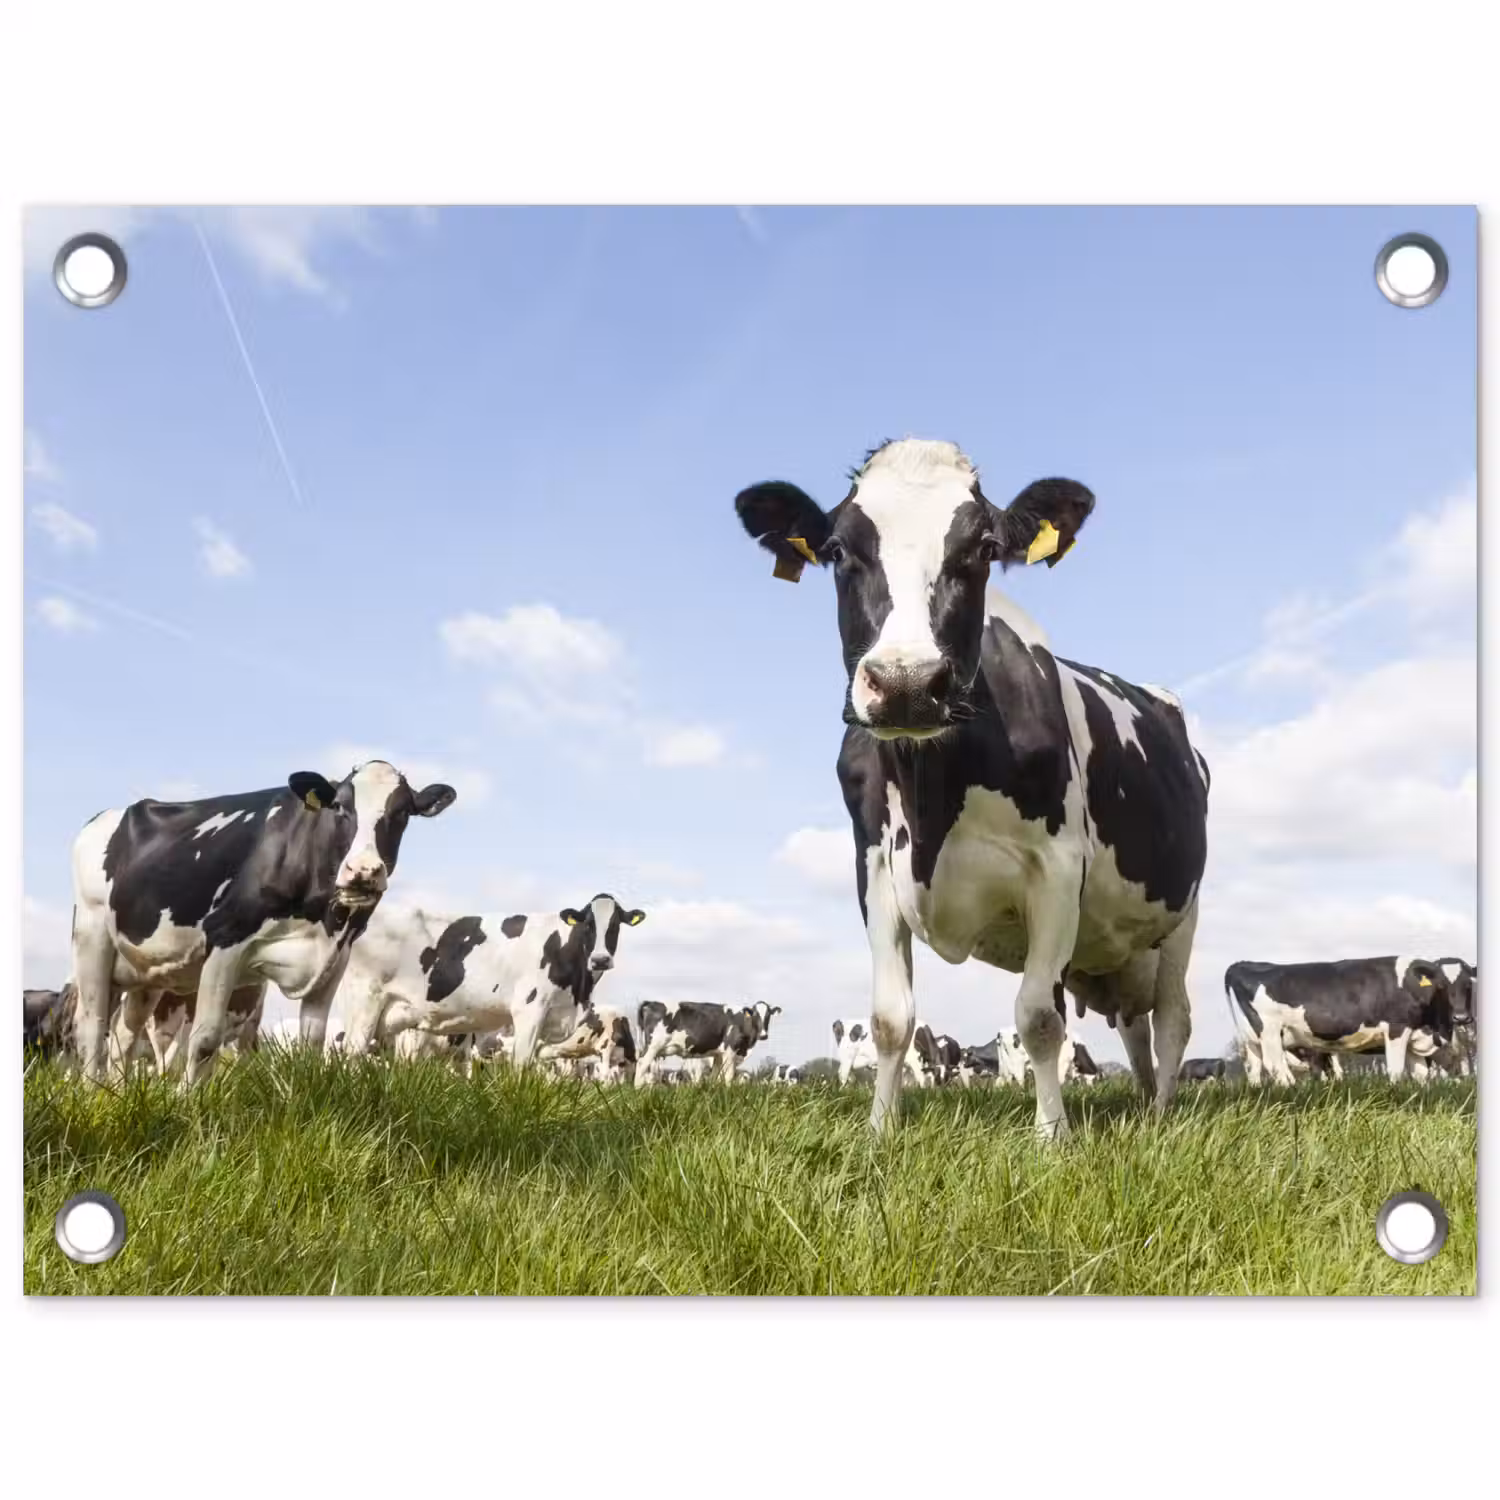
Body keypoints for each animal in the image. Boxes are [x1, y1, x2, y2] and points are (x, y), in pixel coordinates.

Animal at [69, 761, 456, 1085]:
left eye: (402, 811)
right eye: (340, 807)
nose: (363, 871)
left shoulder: (334, 958)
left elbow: (311, 1042)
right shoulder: (226, 937)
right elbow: (205, 1039)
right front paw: (186, 1103)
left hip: (148, 969)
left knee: (124, 1034)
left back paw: (115, 1093)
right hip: (91, 936)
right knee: (91, 1027)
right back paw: (92, 1093)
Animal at [335, 895, 645, 1067]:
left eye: (615, 925)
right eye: (588, 925)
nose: (601, 959)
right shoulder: (529, 1009)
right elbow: (522, 1066)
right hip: (365, 1001)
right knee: (352, 1054)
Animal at [635, 1001, 780, 1085]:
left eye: (768, 1015)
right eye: (755, 1015)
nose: (764, 1035)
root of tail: (650, 1003)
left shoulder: (719, 1055)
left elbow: (716, 1076)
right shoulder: (729, 1051)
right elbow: (728, 1076)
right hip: (654, 1045)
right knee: (642, 1063)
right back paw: (637, 1089)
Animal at [736, 439, 1209, 1139]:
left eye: (984, 548)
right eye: (839, 551)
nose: (905, 683)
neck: (935, 795)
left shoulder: (1058, 868)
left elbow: (1039, 1018)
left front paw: (1052, 1135)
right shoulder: (875, 866)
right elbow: (890, 1019)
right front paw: (879, 1132)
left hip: (1182, 913)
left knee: (1172, 1018)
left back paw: (1161, 1114)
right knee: (1134, 1026)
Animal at [1224, 957, 1457, 1084]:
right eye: (1442, 985)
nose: (1460, 1016)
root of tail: (1243, 964)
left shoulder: (1414, 1035)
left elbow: (1421, 1074)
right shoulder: (1397, 1028)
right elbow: (1396, 1070)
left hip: (1253, 1038)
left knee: (1255, 1068)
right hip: (1270, 1030)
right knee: (1275, 1064)